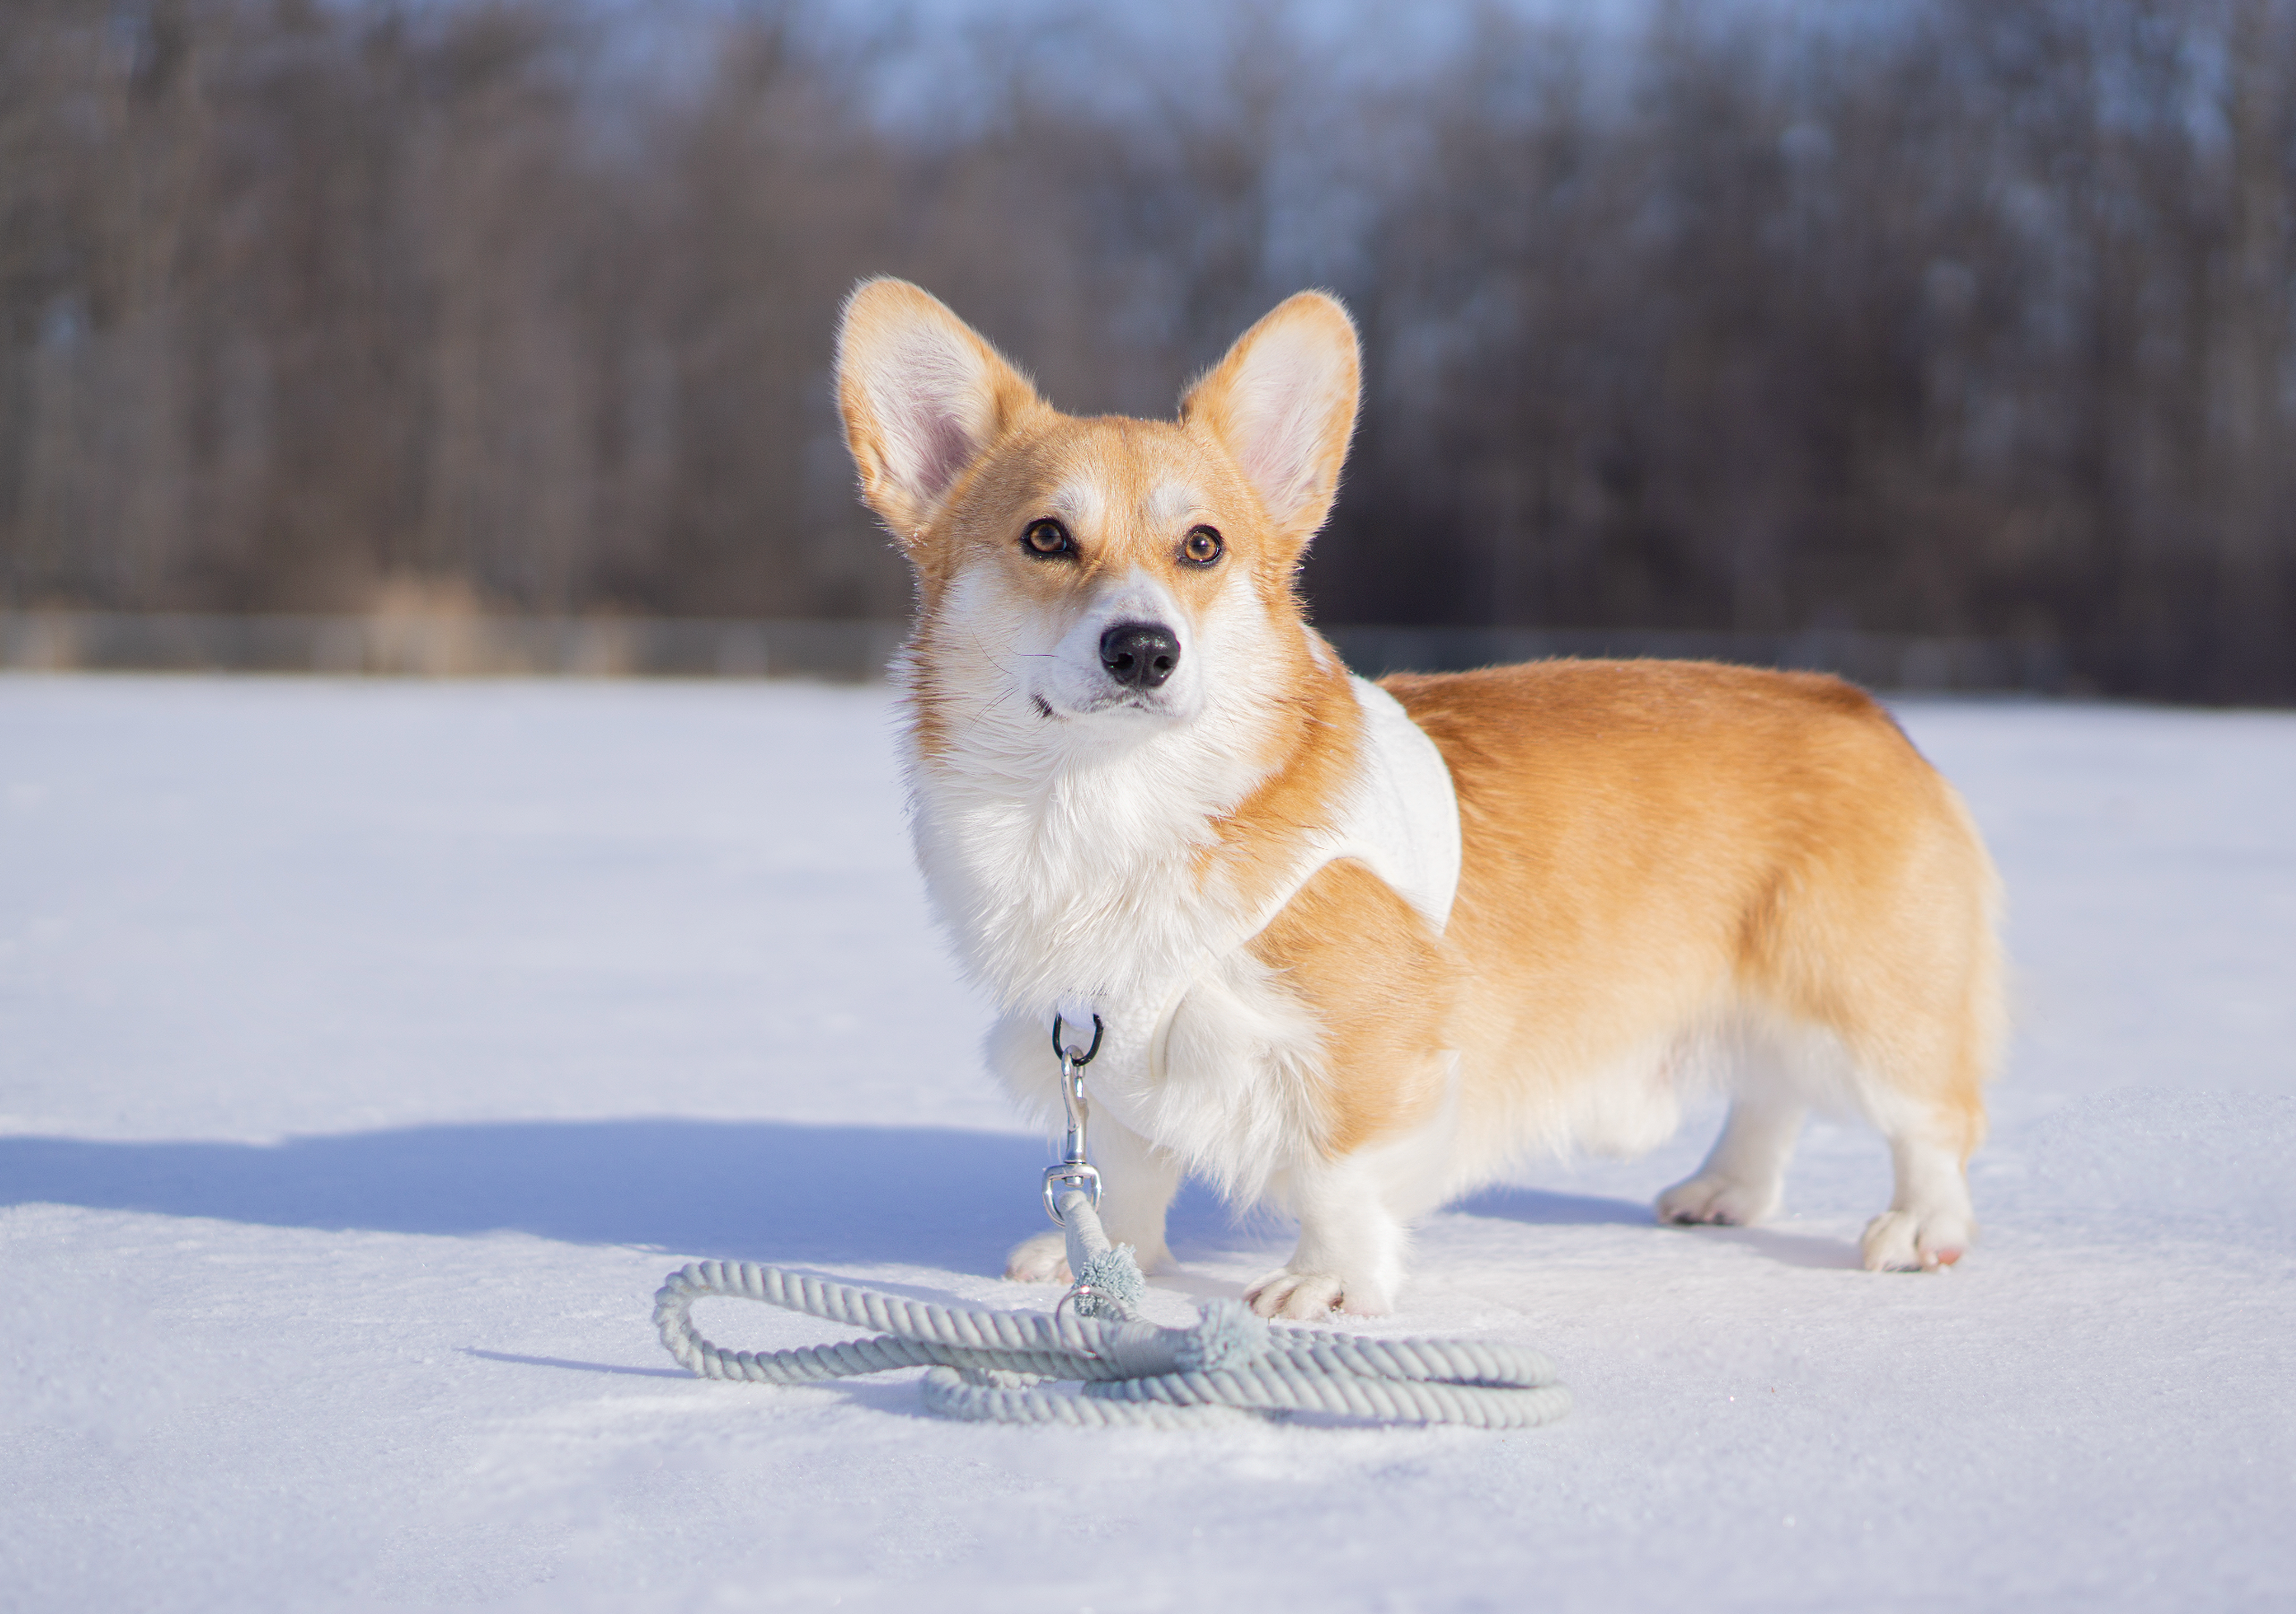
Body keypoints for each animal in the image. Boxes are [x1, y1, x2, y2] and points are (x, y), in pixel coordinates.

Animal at [836, 274, 2002, 1312]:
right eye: (1045, 537)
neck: (1105, 799)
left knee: (1929, 1119)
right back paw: (1726, 1191)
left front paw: (1326, 1286)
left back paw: (1919, 1229)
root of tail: (1860, 704)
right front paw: (1104, 1257)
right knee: (1770, 1094)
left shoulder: (1363, 1051)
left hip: (1861, 1002)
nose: (1143, 650)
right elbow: (1123, 1166)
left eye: (1202, 546)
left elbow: (1335, 1176)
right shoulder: (1099, 1043)